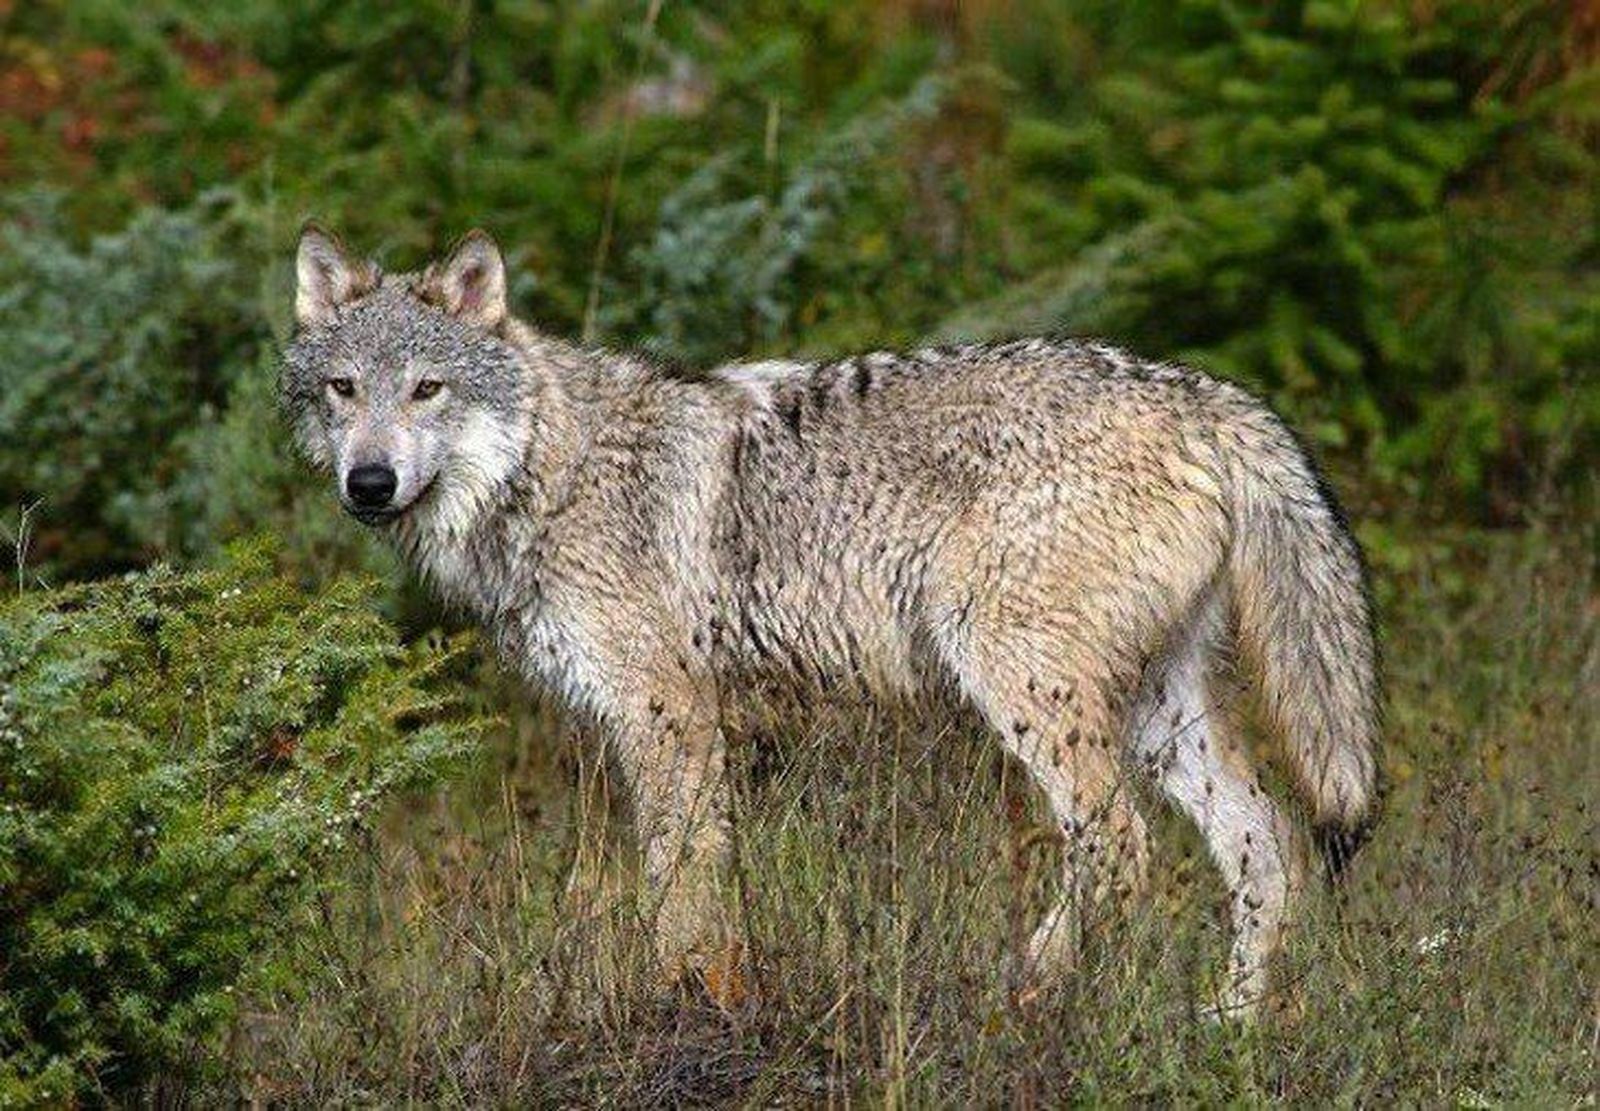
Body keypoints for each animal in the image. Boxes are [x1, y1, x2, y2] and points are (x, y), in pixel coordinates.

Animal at [282, 226, 1379, 1018]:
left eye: (428, 389)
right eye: (345, 390)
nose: (369, 483)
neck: (546, 469)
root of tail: (1205, 394)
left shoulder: (667, 715)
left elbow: (679, 889)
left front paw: (688, 1006)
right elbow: (707, 887)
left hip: (1022, 685)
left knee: (1120, 847)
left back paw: (1030, 985)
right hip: (1159, 716)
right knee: (1270, 850)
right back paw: (1227, 1031)